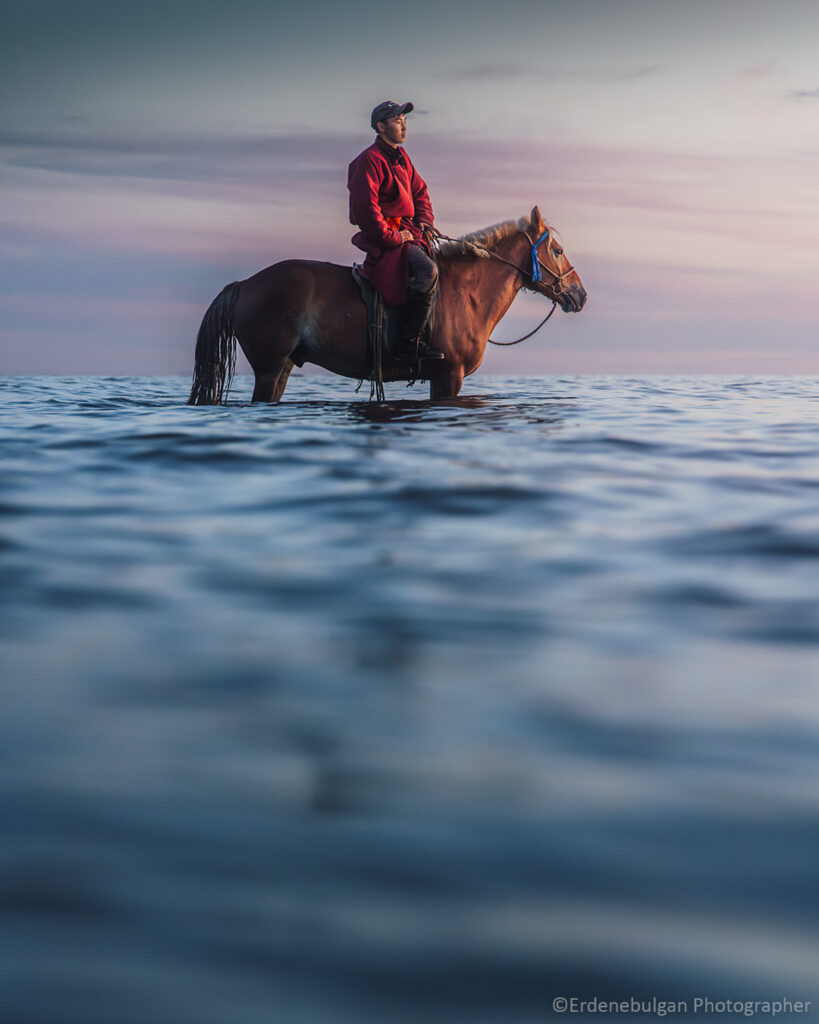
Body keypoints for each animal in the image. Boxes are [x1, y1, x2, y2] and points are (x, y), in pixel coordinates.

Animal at [187, 206, 586, 405]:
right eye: (558, 250)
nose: (580, 294)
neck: (467, 293)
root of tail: (246, 284)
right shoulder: (448, 376)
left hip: (283, 367)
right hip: (270, 367)